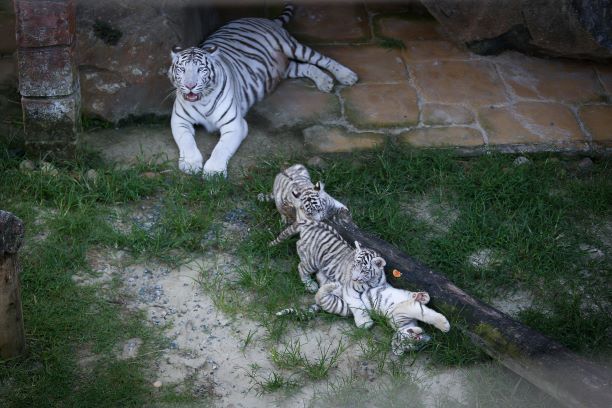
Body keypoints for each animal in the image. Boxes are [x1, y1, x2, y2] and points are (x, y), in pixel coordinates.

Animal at [167, 3, 358, 176]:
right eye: (181, 69)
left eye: (201, 70)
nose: (190, 86)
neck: (203, 101)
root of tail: (260, 18)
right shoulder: (179, 120)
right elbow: (187, 141)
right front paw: (190, 164)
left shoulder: (235, 125)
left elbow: (221, 148)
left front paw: (214, 171)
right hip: (286, 68)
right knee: (307, 67)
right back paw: (324, 81)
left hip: (293, 46)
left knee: (322, 59)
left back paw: (347, 75)